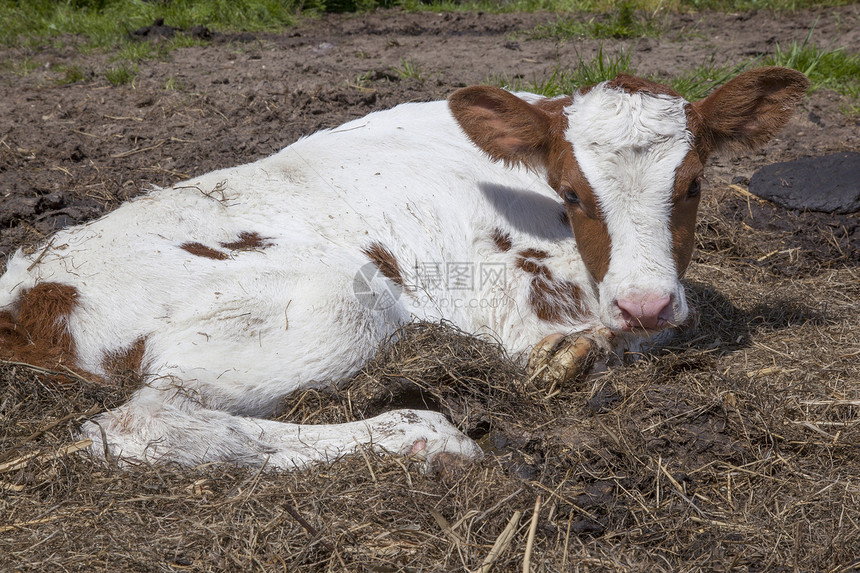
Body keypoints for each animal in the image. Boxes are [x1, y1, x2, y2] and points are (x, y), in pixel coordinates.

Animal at [0, 67, 808, 470]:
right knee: (148, 422)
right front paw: (575, 353)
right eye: (574, 193)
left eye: (693, 183)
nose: (645, 301)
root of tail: (25, 294)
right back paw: (425, 435)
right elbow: (583, 343)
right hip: (336, 301)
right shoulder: (509, 294)